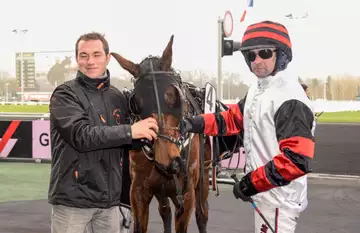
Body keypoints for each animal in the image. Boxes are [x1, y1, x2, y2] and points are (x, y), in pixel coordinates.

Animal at [112, 35, 212, 233]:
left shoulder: (187, 194)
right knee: (165, 211)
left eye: (174, 94)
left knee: (202, 214)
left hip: (204, 176)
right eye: (136, 102)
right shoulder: (139, 191)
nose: (169, 161)